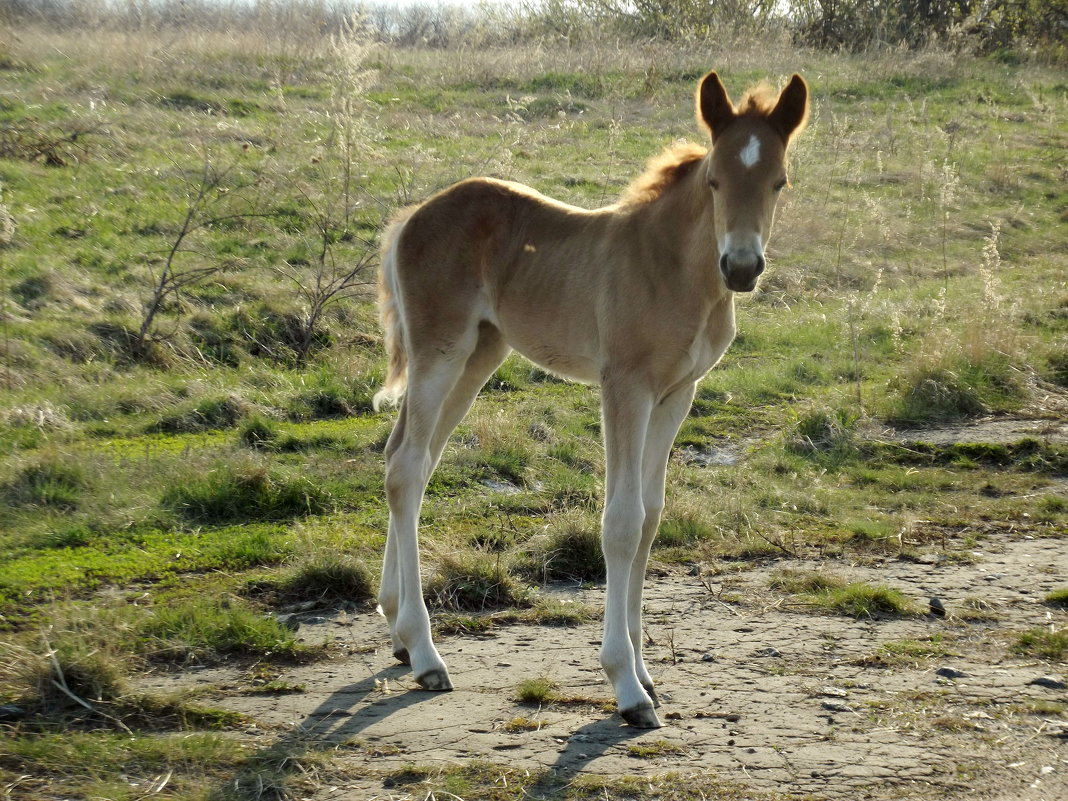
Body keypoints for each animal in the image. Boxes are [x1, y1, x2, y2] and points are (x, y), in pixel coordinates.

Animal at [371, 72, 803, 730]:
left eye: (779, 181)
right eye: (714, 181)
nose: (742, 267)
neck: (672, 268)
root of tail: (411, 218)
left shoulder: (677, 394)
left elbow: (650, 518)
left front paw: (646, 673)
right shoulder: (624, 386)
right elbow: (621, 522)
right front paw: (625, 686)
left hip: (479, 355)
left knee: (410, 461)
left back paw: (398, 629)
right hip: (440, 352)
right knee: (405, 468)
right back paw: (425, 653)